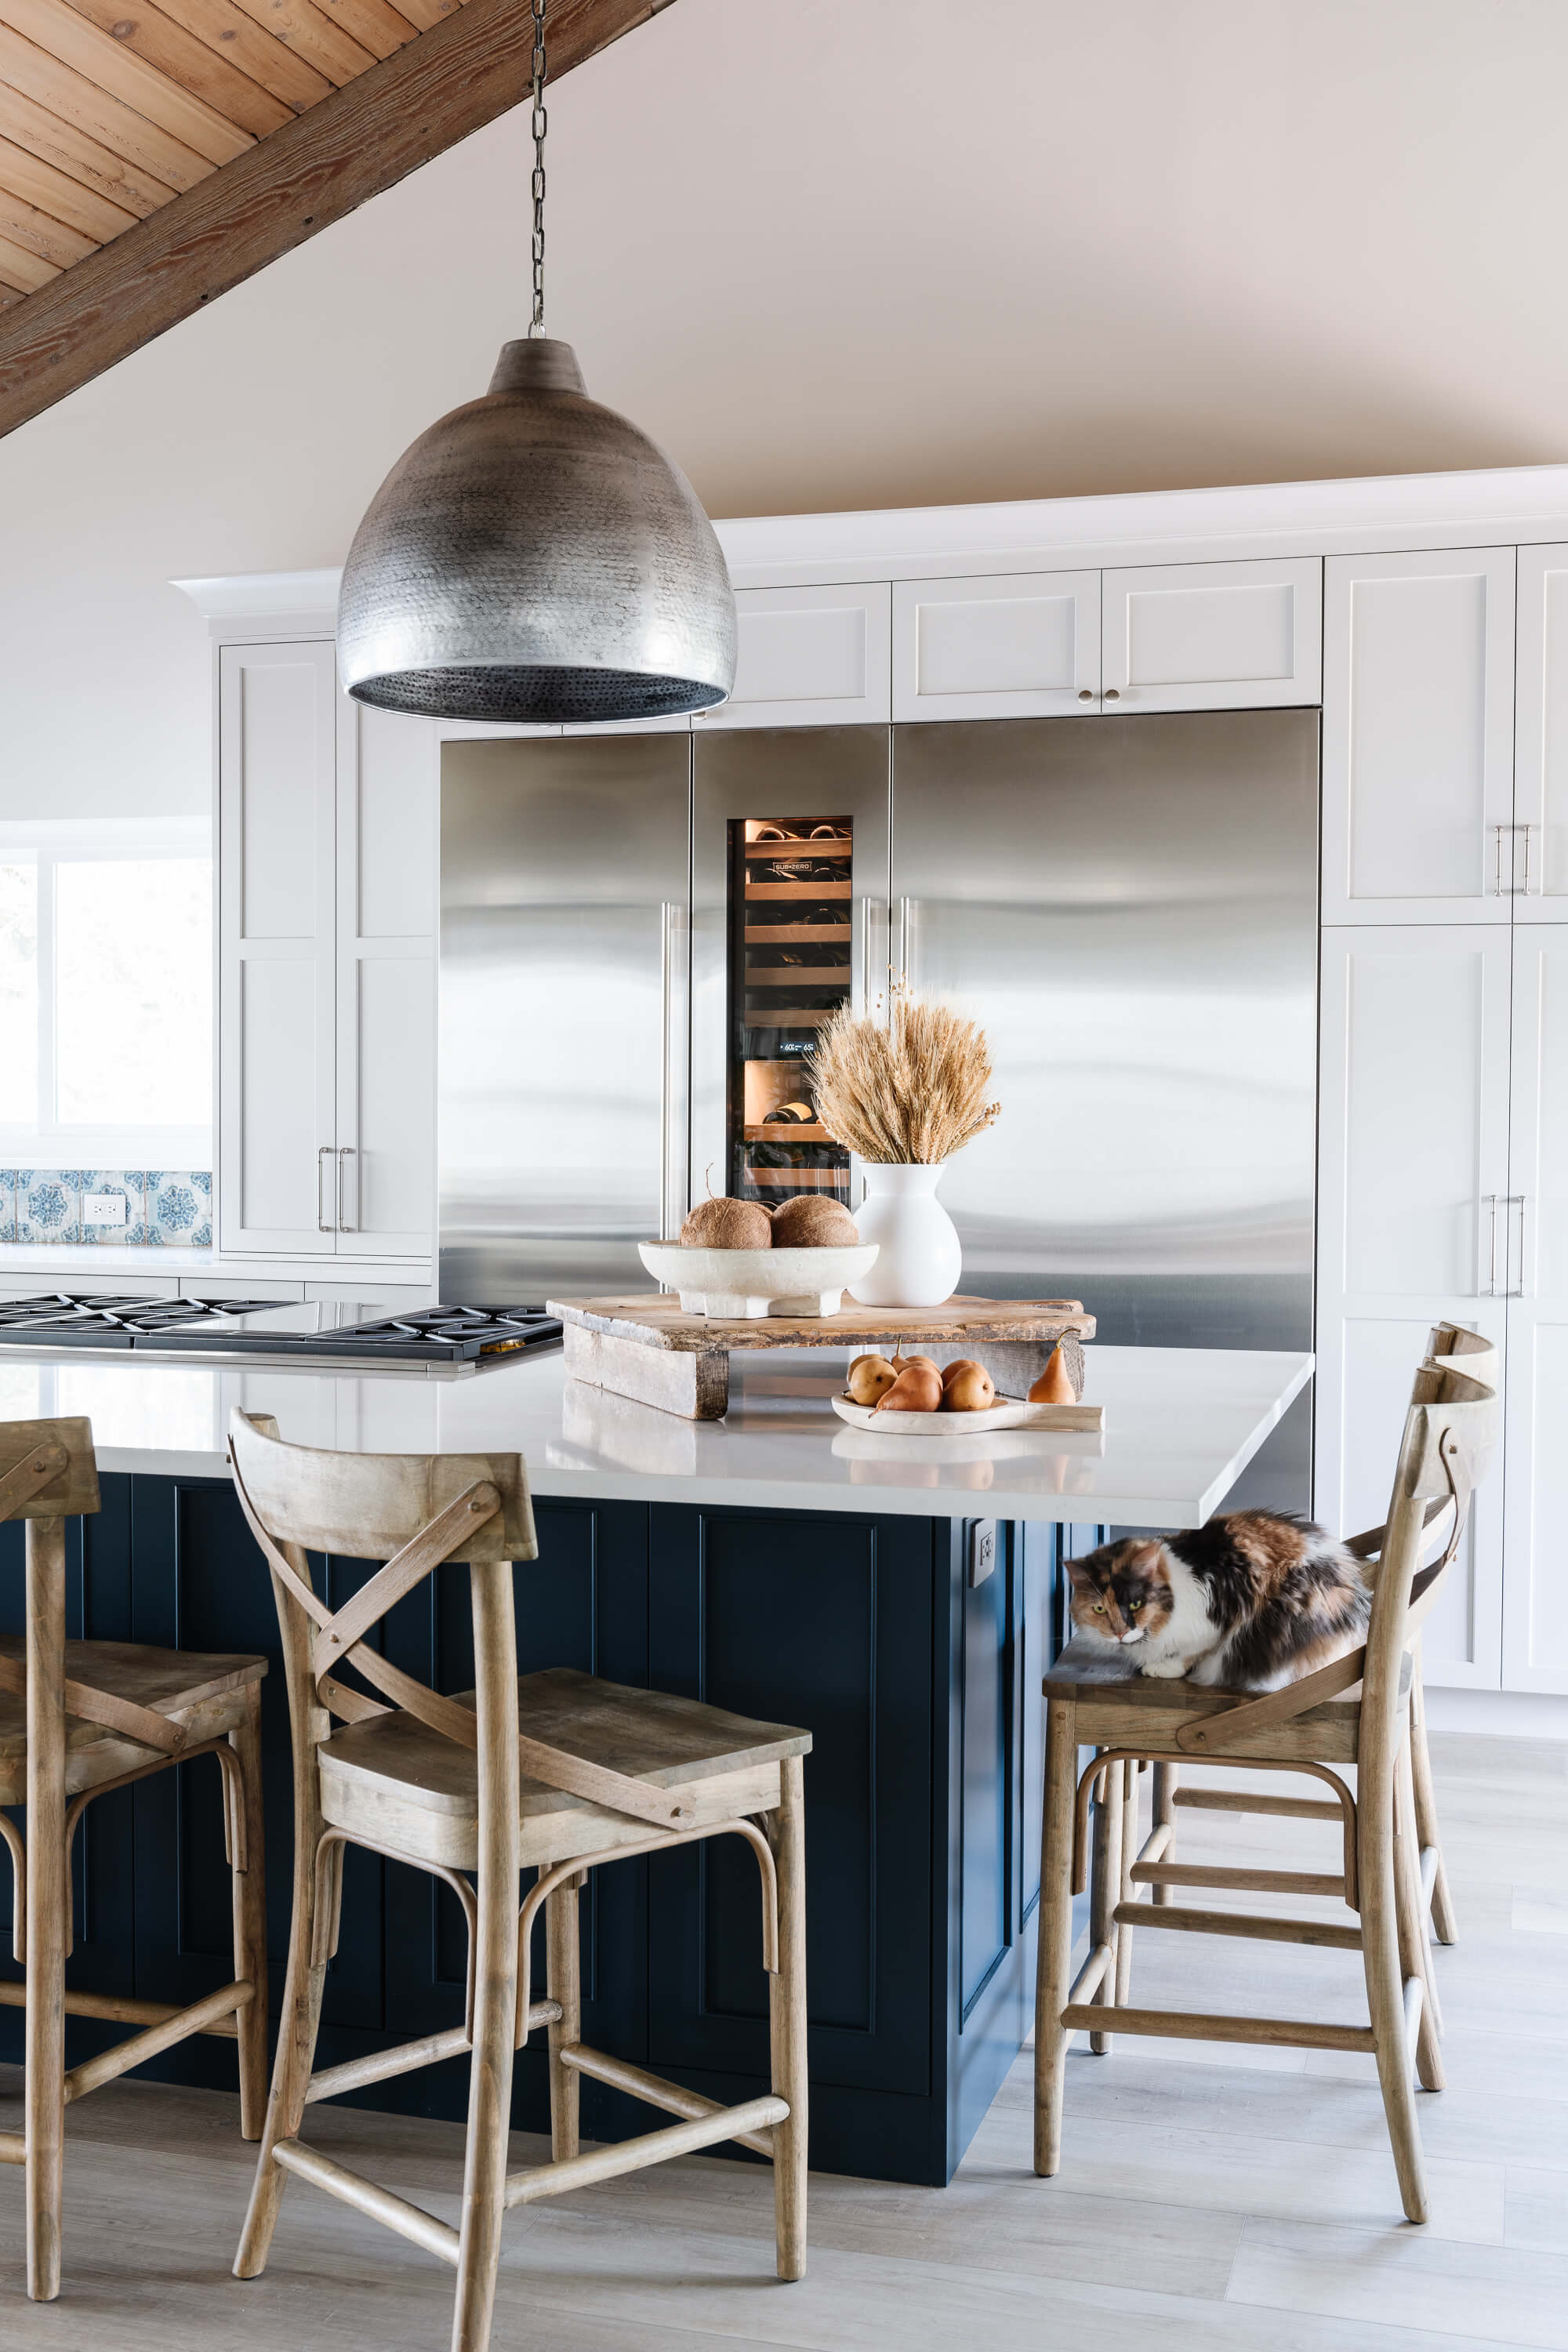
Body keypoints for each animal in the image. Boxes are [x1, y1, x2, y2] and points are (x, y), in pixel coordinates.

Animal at [1067, 1505, 1373, 1693]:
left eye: (1135, 1604)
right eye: (1099, 1608)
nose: (1119, 1633)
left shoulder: (1213, 1624)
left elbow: (1192, 1653)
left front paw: (1163, 1668)